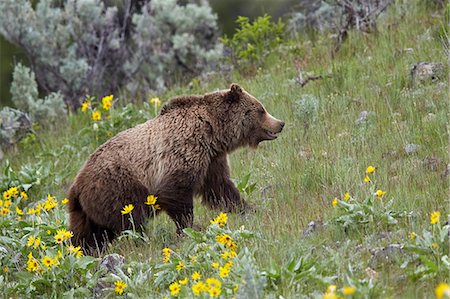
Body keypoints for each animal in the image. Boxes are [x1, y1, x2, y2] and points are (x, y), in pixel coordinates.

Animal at [67, 84, 284, 253]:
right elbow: (177, 194)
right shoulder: (182, 153)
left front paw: (250, 208)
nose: (280, 123)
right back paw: (141, 241)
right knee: (130, 221)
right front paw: (189, 229)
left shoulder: (212, 160)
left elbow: (220, 189)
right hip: (117, 187)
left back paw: (85, 250)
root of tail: (77, 185)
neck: (213, 133)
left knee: (87, 234)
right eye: (261, 109)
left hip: (86, 211)